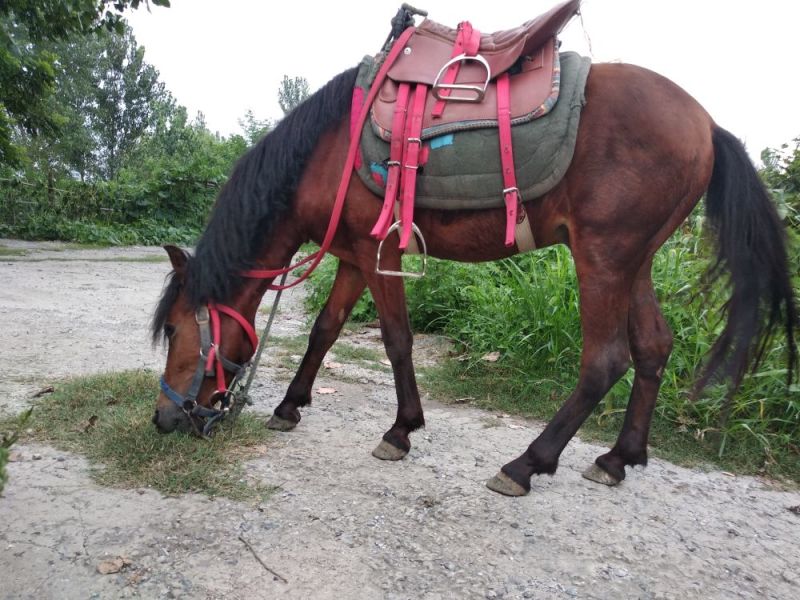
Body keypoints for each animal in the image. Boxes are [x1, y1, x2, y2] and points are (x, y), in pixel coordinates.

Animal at [150, 34, 798, 497]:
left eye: (178, 330)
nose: (164, 420)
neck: (327, 152)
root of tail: (708, 125)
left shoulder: (380, 255)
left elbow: (397, 339)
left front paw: (401, 430)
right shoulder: (354, 258)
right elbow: (324, 330)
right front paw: (289, 407)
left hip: (604, 259)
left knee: (605, 360)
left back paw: (527, 464)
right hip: (634, 261)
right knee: (654, 347)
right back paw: (619, 457)